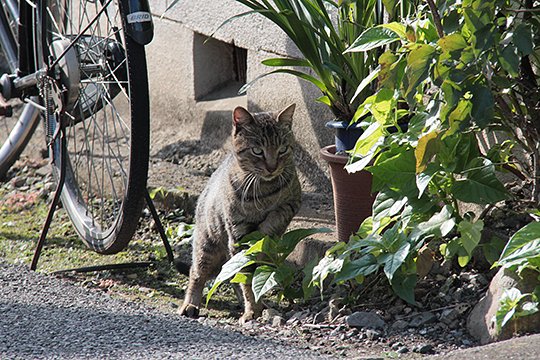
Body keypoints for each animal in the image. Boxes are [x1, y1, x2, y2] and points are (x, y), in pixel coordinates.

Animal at [178, 104, 302, 324]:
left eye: (283, 149)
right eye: (257, 151)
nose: (272, 167)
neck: (264, 189)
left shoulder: (294, 201)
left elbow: (278, 214)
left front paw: (266, 228)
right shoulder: (238, 233)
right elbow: (246, 277)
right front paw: (251, 309)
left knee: (233, 275)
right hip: (207, 246)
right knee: (197, 273)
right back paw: (190, 304)